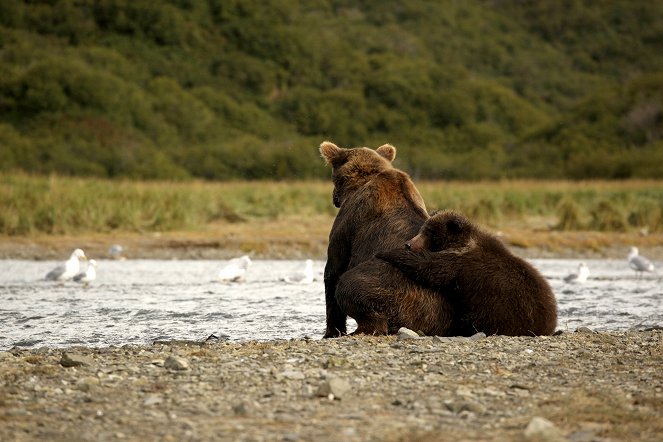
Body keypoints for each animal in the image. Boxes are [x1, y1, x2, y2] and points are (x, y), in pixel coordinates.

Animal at [320, 143, 454, 336]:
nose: (334, 198)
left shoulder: (348, 225)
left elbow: (333, 272)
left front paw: (331, 332)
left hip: (395, 291)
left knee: (350, 288)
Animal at [376, 211, 556, 334]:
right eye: (423, 229)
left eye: (430, 232)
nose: (409, 244)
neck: (460, 244)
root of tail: (550, 321)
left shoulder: (460, 264)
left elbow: (428, 268)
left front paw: (386, 253)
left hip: (500, 308)